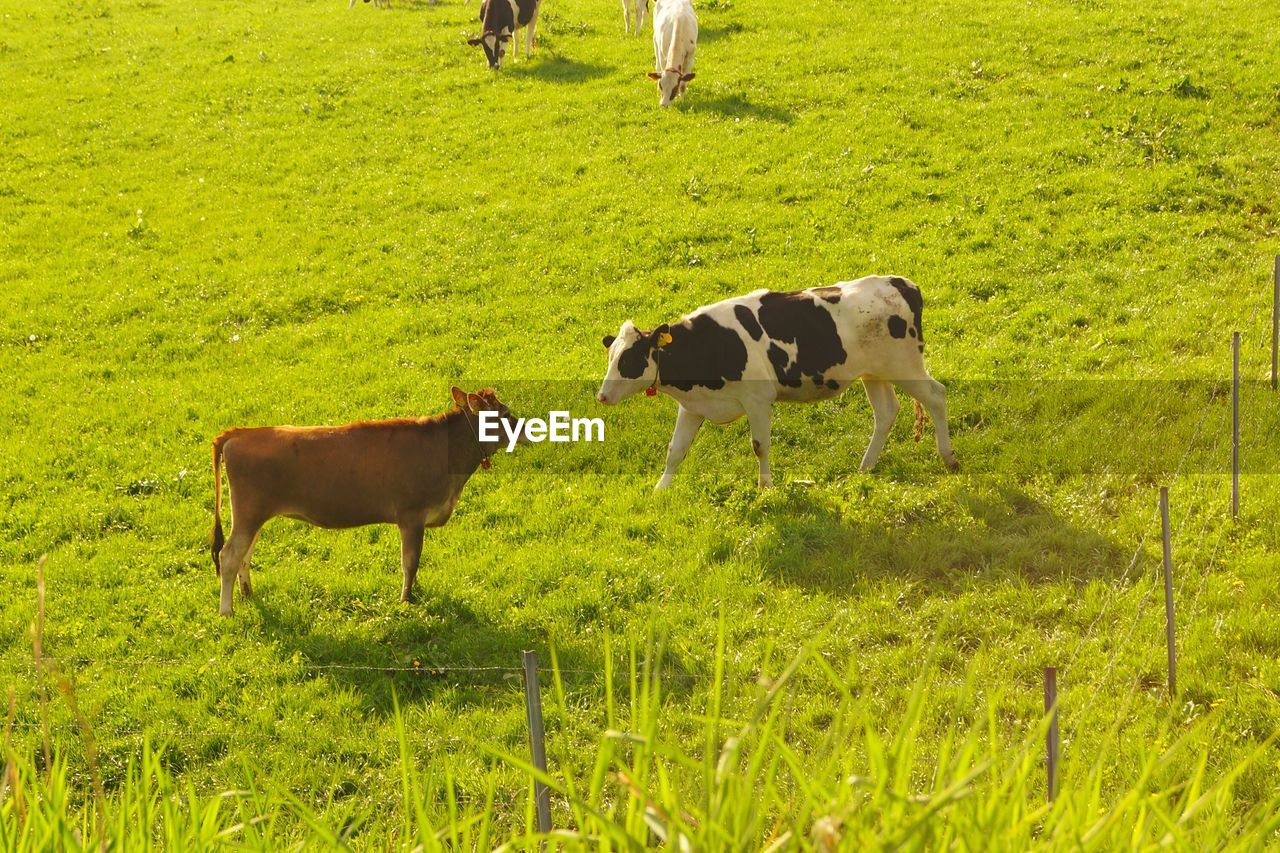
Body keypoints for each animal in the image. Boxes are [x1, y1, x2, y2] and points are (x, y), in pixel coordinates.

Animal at [212, 384, 522, 612]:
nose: (526, 430)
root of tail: (240, 433)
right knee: (228, 555)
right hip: (248, 514)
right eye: (505, 414)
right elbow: (410, 561)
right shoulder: (411, 516)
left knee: (244, 555)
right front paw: (406, 600)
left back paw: (248, 595)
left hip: (254, 516)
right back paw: (227, 611)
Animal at [599, 275, 962, 489]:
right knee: (886, 412)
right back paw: (865, 467)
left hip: (904, 364)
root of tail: (899, 283)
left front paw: (766, 488)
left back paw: (949, 459)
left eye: (627, 360)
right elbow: (676, 450)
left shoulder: (758, 399)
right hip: (874, 373)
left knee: (936, 395)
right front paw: (660, 491)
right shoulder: (693, 406)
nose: (601, 396)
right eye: (611, 355)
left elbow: (759, 445)